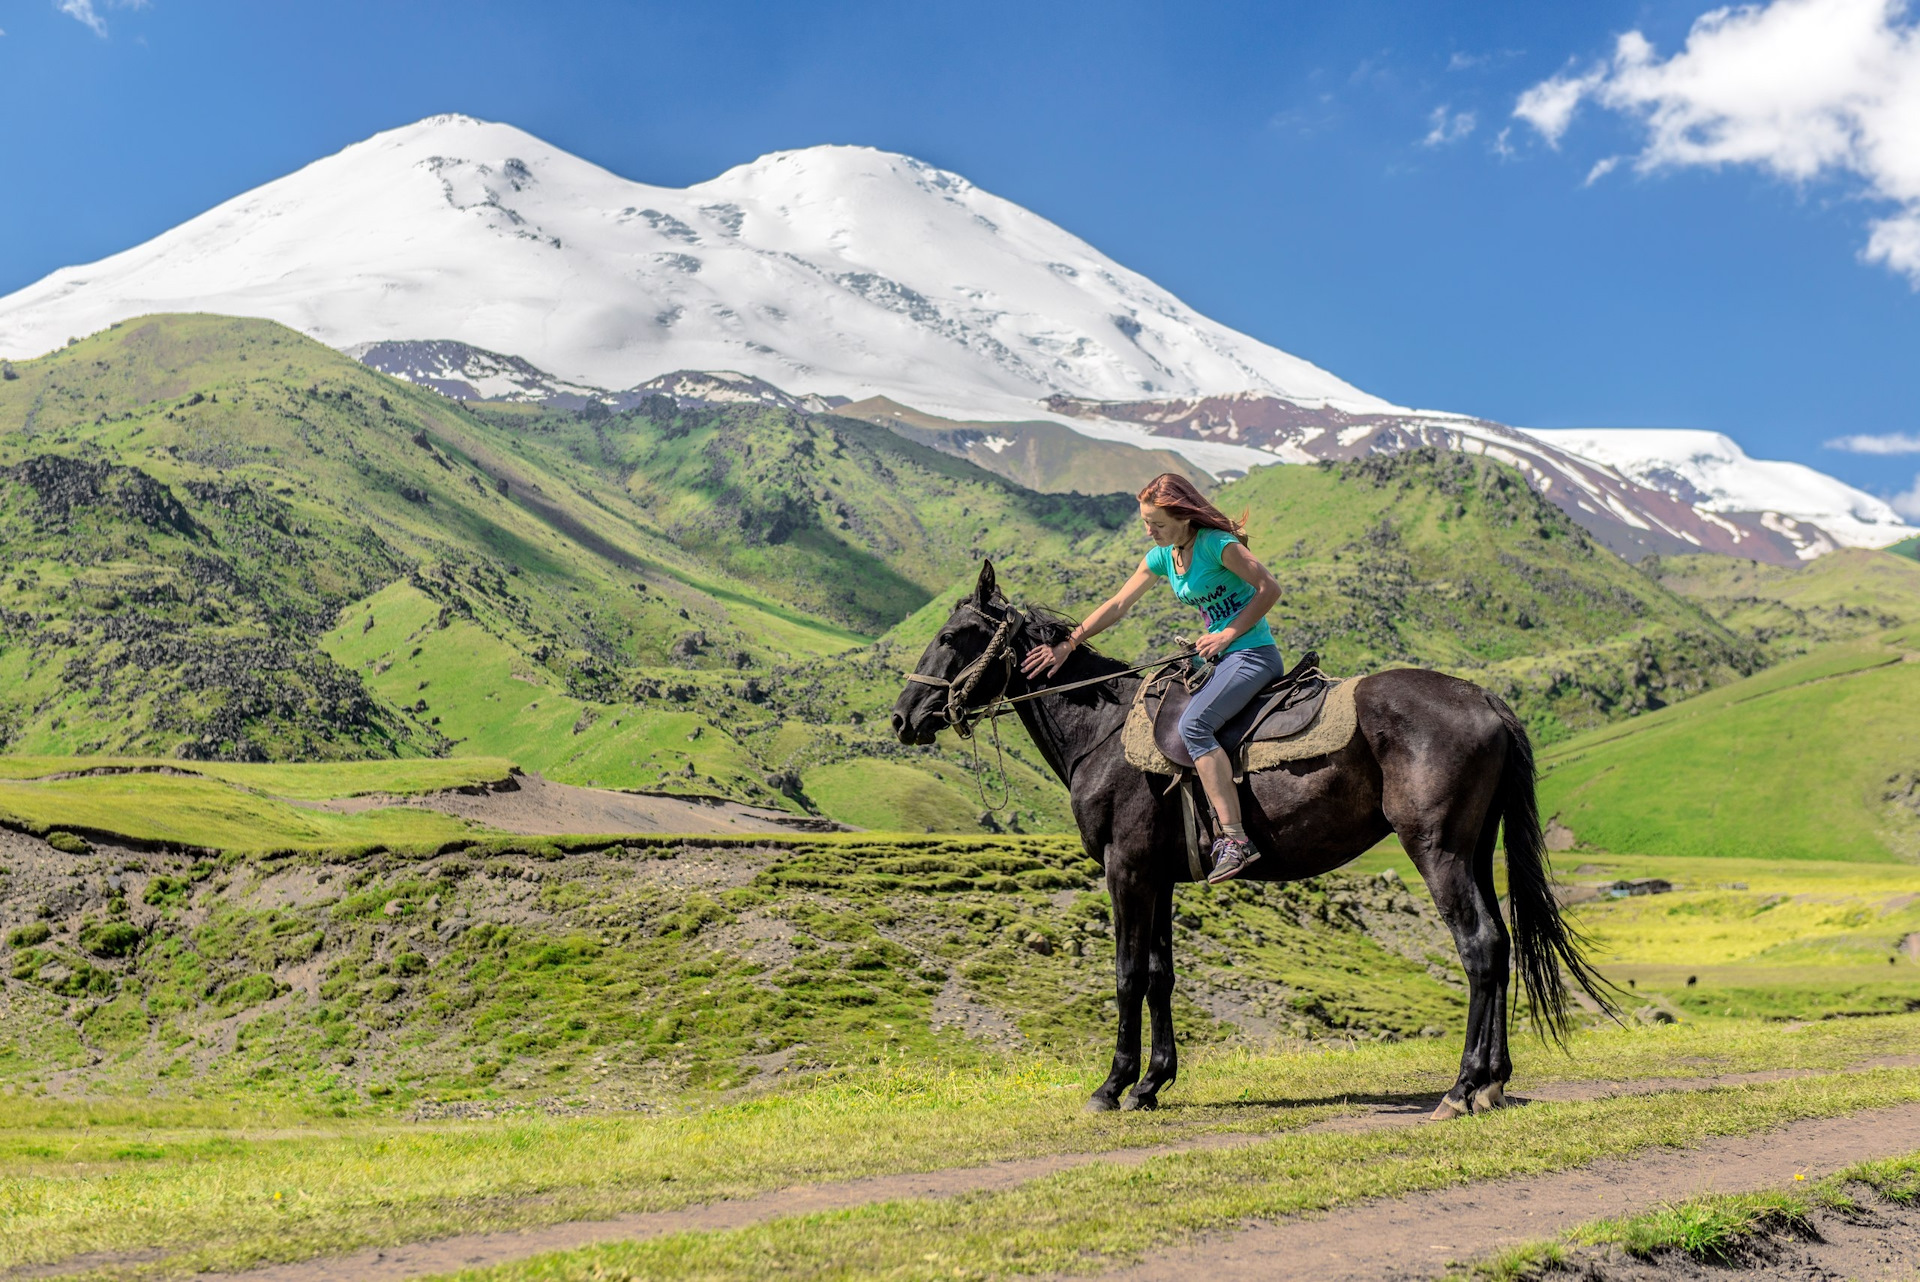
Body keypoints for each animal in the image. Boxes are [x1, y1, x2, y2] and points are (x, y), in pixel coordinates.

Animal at [890, 564, 1612, 1113]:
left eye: (953, 635)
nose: (902, 718)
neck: (1102, 731)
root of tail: (1484, 700)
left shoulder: (1127, 869)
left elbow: (1126, 975)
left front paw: (1112, 1086)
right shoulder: (1160, 876)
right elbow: (1161, 976)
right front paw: (1152, 1084)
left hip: (1436, 851)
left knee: (1481, 948)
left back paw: (1462, 1088)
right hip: (1474, 851)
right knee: (1503, 945)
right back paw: (1491, 1083)